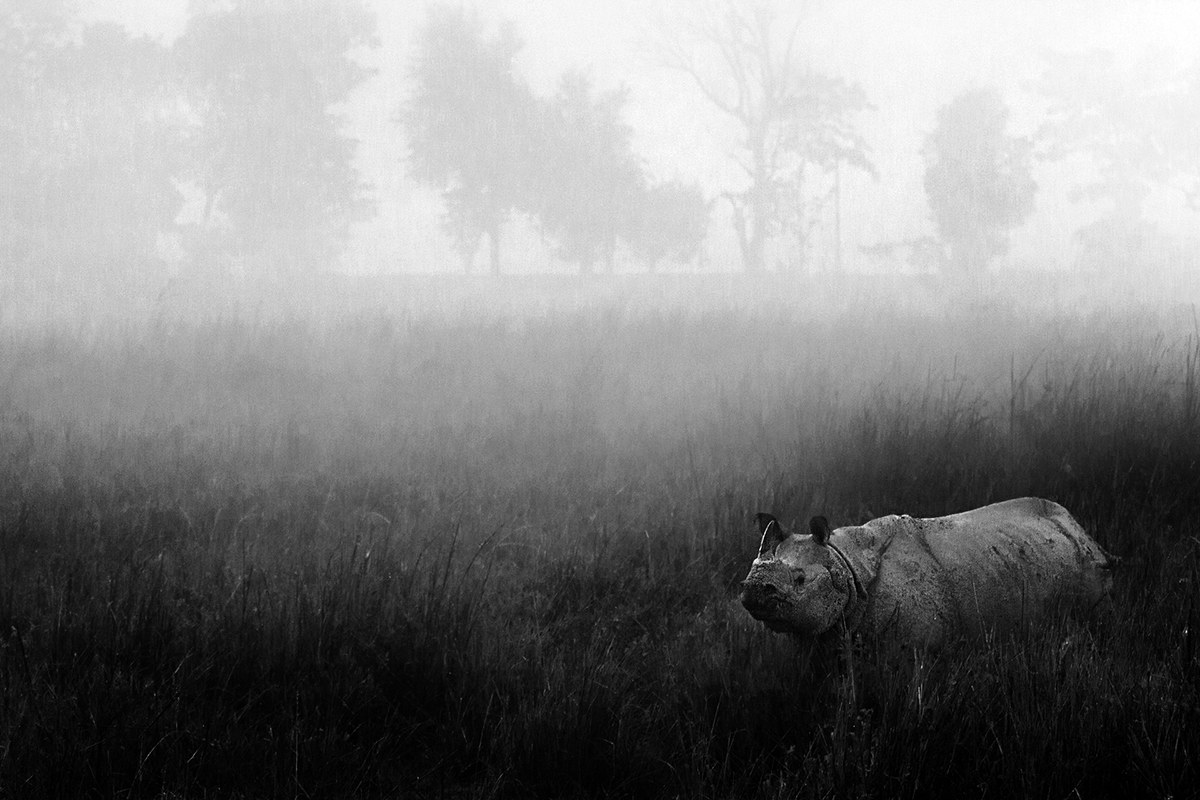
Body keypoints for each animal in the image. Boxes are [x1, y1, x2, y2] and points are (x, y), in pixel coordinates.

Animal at [739, 498, 1116, 650]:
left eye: (801, 580)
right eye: (750, 572)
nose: (753, 590)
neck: (844, 562)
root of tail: (1082, 531)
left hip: (1086, 567)